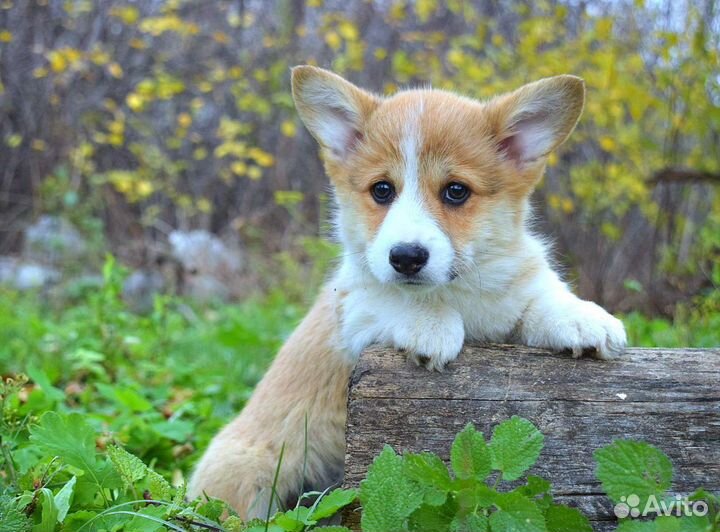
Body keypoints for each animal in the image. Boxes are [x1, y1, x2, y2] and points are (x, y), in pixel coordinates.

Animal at [188, 64, 628, 516]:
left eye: (456, 191)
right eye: (382, 190)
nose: (405, 257)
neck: (458, 289)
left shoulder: (515, 294)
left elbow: (541, 299)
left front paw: (582, 319)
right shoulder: (352, 309)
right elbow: (392, 298)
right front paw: (432, 329)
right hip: (249, 473)